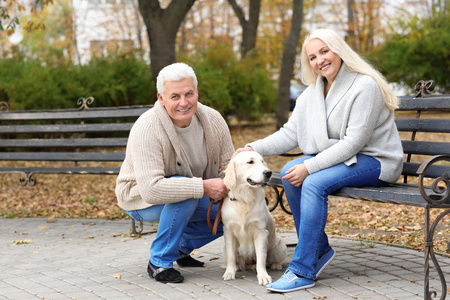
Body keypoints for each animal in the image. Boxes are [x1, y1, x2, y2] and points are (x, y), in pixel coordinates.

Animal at [222, 151, 288, 284]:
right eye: (250, 162)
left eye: (262, 161)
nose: (268, 172)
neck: (245, 199)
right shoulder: (229, 231)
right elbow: (231, 256)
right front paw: (229, 272)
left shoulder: (261, 232)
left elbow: (261, 258)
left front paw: (263, 276)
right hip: (225, 249)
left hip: (279, 246)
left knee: (273, 259)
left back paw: (276, 265)